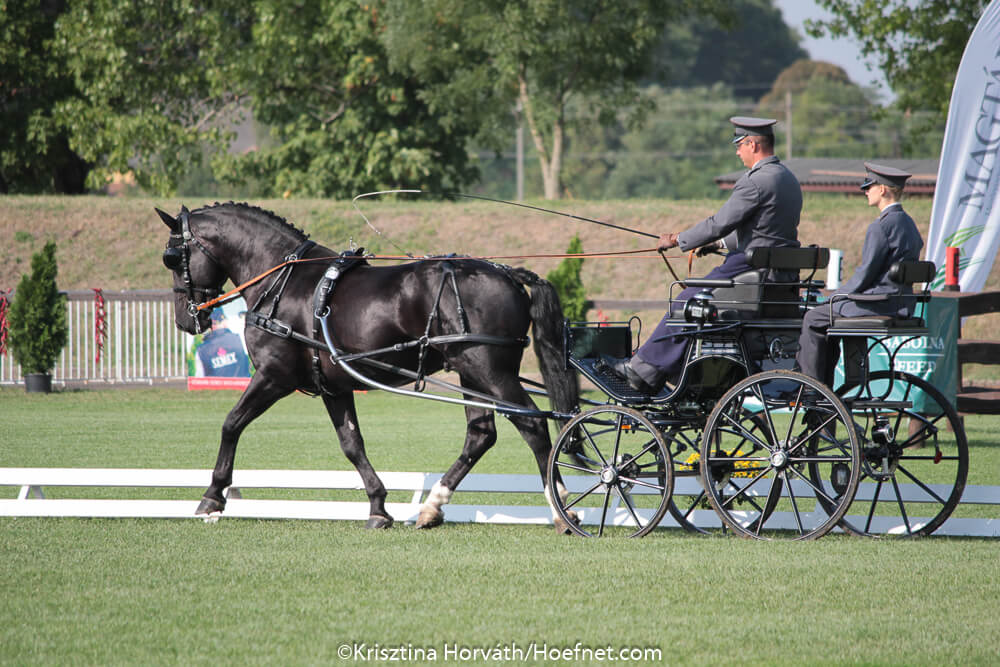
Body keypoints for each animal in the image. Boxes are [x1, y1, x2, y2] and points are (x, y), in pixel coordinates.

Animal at [155, 201, 580, 528]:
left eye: (173, 258)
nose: (186, 320)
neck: (282, 280)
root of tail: (508, 273)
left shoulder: (274, 376)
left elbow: (231, 423)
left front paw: (212, 497)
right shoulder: (333, 386)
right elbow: (352, 444)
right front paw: (378, 506)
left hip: (489, 370)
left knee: (532, 424)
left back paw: (561, 508)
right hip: (469, 371)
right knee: (481, 434)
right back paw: (432, 507)